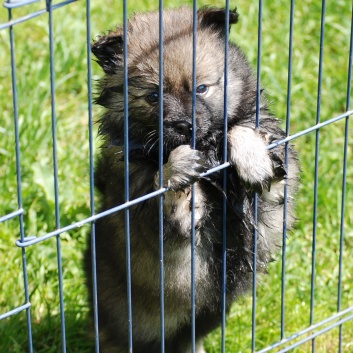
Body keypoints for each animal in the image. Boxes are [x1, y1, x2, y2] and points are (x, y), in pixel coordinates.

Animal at [84, 6, 296, 352]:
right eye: (153, 96)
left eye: (201, 88)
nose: (183, 124)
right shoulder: (146, 213)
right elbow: (164, 193)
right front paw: (178, 170)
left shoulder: (274, 198)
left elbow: (245, 135)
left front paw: (251, 156)